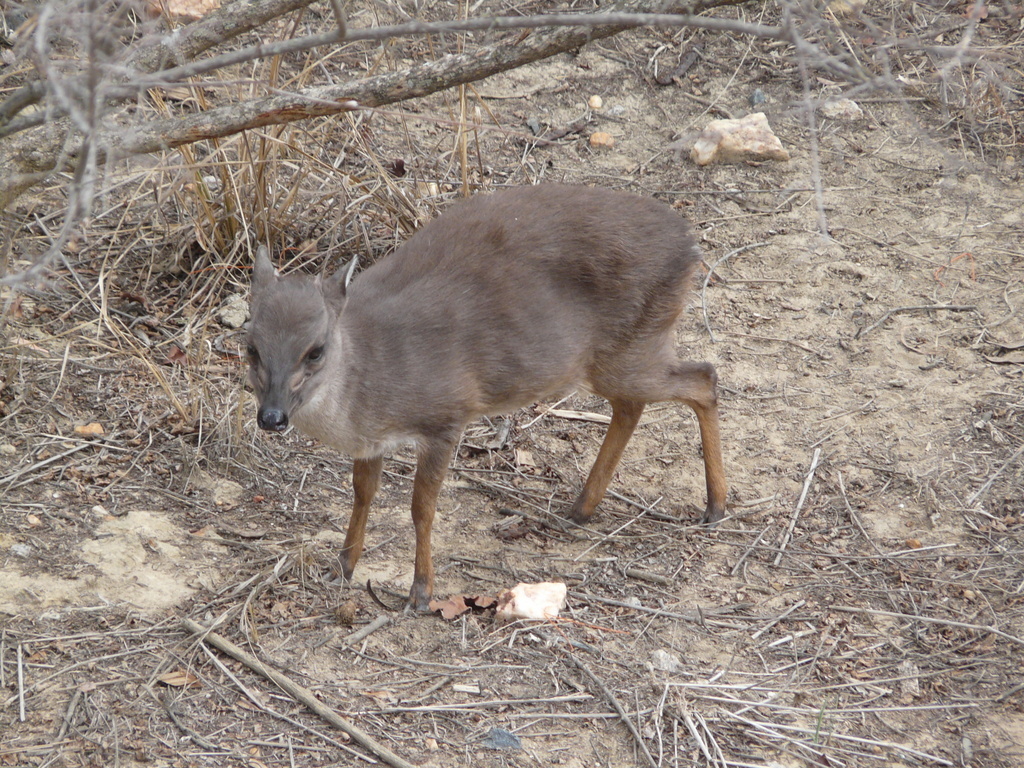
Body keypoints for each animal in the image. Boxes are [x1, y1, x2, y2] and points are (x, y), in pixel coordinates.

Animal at [246, 183, 729, 610]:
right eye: (251, 346)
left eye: (315, 350)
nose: (272, 417)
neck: (370, 373)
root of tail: (689, 242)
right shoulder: (372, 440)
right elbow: (362, 493)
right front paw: (342, 566)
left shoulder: (446, 415)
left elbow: (422, 508)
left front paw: (420, 593)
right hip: (618, 357)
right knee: (636, 403)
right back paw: (581, 508)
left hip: (631, 348)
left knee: (703, 377)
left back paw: (716, 506)